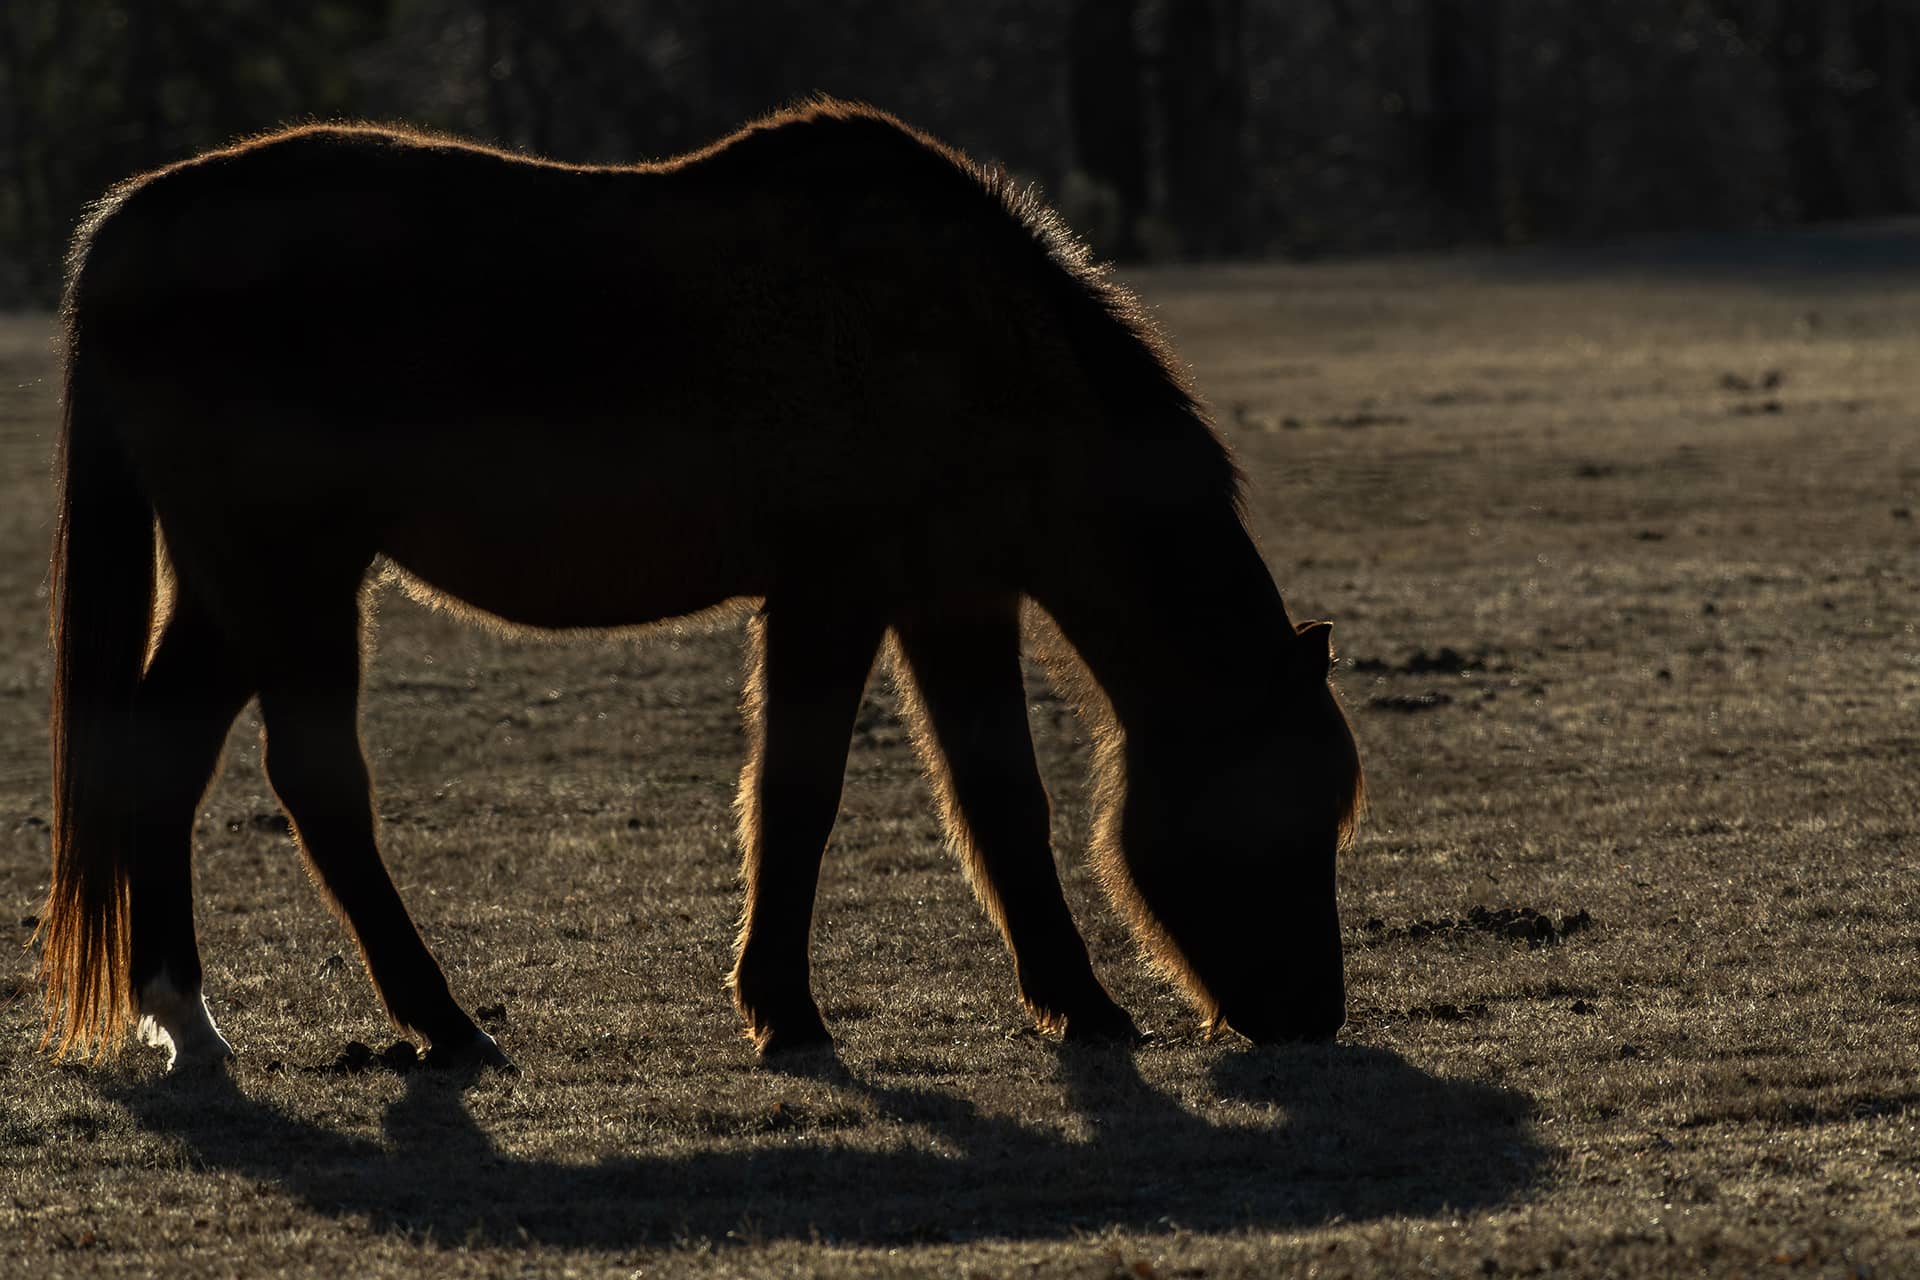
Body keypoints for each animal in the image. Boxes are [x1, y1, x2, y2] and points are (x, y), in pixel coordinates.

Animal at [40, 100, 1365, 1071]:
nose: (1311, 1015)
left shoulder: (950, 593)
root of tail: (127, 229)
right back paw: (443, 1023)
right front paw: (795, 1010)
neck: (966, 329)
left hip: (239, 589)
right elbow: (806, 792)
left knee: (160, 754)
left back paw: (191, 1019)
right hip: (292, 577)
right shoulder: (843, 589)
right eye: (1287, 810)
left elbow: (994, 800)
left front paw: (1065, 1001)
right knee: (319, 787)